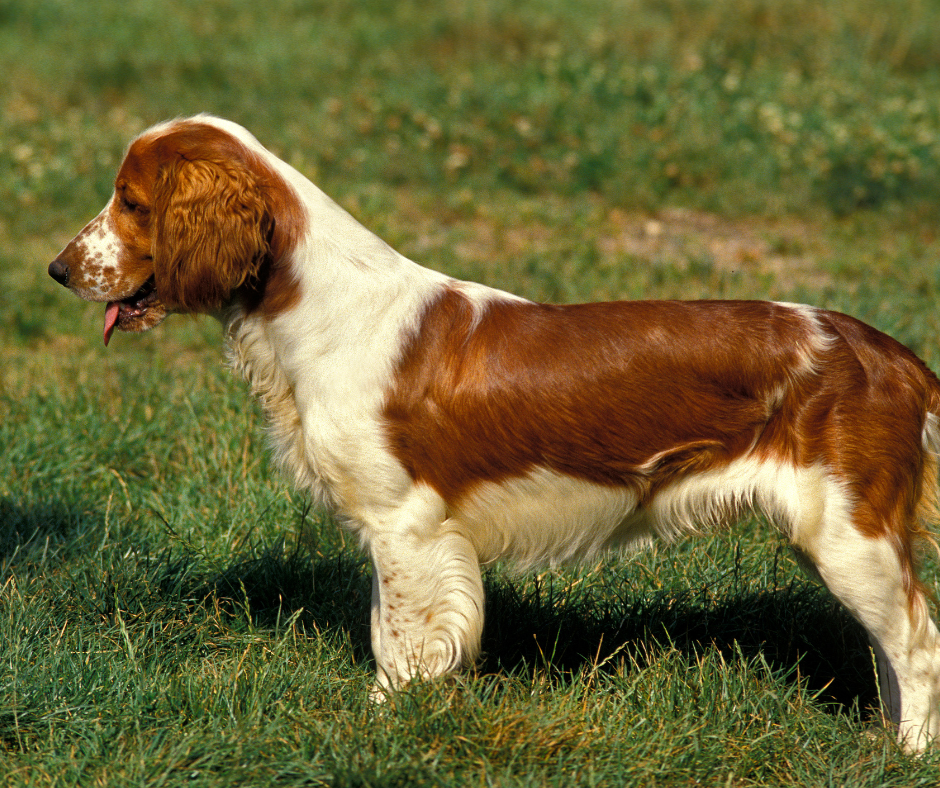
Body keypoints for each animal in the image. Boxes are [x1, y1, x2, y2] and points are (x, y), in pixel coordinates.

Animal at [47, 115, 940, 752]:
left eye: (131, 201)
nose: (56, 270)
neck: (314, 303)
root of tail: (892, 354)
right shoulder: (402, 530)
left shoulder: (405, 524)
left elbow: (400, 639)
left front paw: (383, 722)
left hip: (851, 534)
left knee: (919, 643)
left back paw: (908, 758)